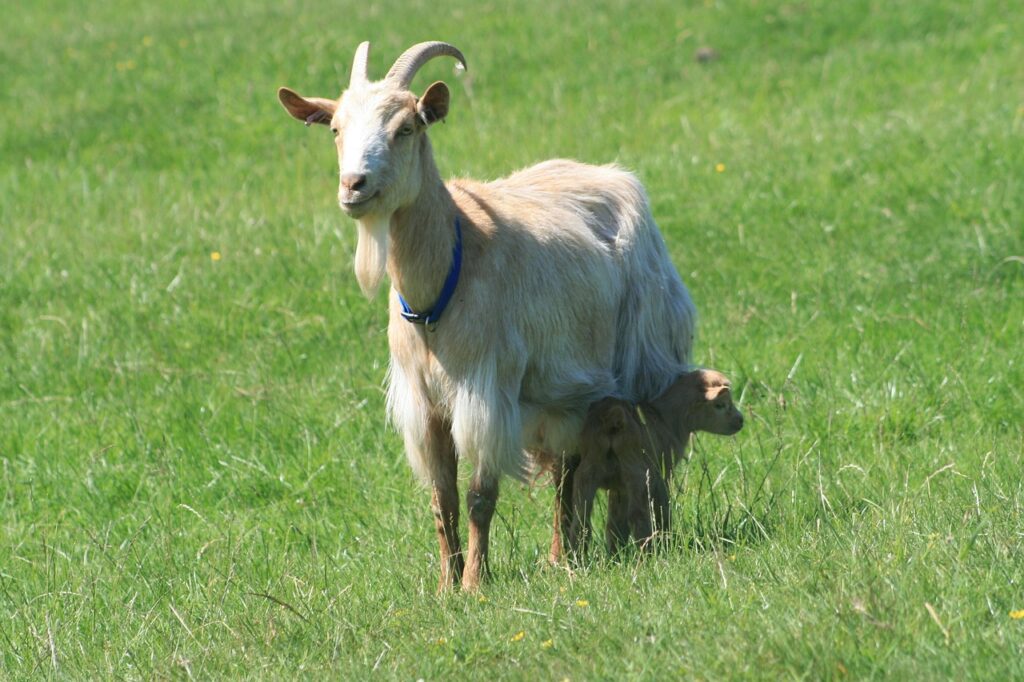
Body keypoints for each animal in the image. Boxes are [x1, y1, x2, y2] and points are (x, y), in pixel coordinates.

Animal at [278, 41, 696, 590]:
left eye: (406, 128)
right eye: (335, 129)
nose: (354, 186)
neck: (440, 287)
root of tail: (612, 173)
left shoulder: (487, 391)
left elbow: (480, 497)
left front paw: (475, 584)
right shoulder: (425, 405)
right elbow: (443, 501)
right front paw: (444, 586)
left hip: (632, 358)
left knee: (598, 461)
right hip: (560, 390)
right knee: (567, 467)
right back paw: (560, 556)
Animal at [569, 369, 743, 558]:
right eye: (720, 405)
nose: (741, 421)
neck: (666, 419)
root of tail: (612, 419)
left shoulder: (619, 488)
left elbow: (615, 522)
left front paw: (616, 555)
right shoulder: (662, 474)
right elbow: (662, 508)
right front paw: (666, 540)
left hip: (587, 473)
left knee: (580, 521)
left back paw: (576, 558)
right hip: (636, 474)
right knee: (637, 515)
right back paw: (648, 554)